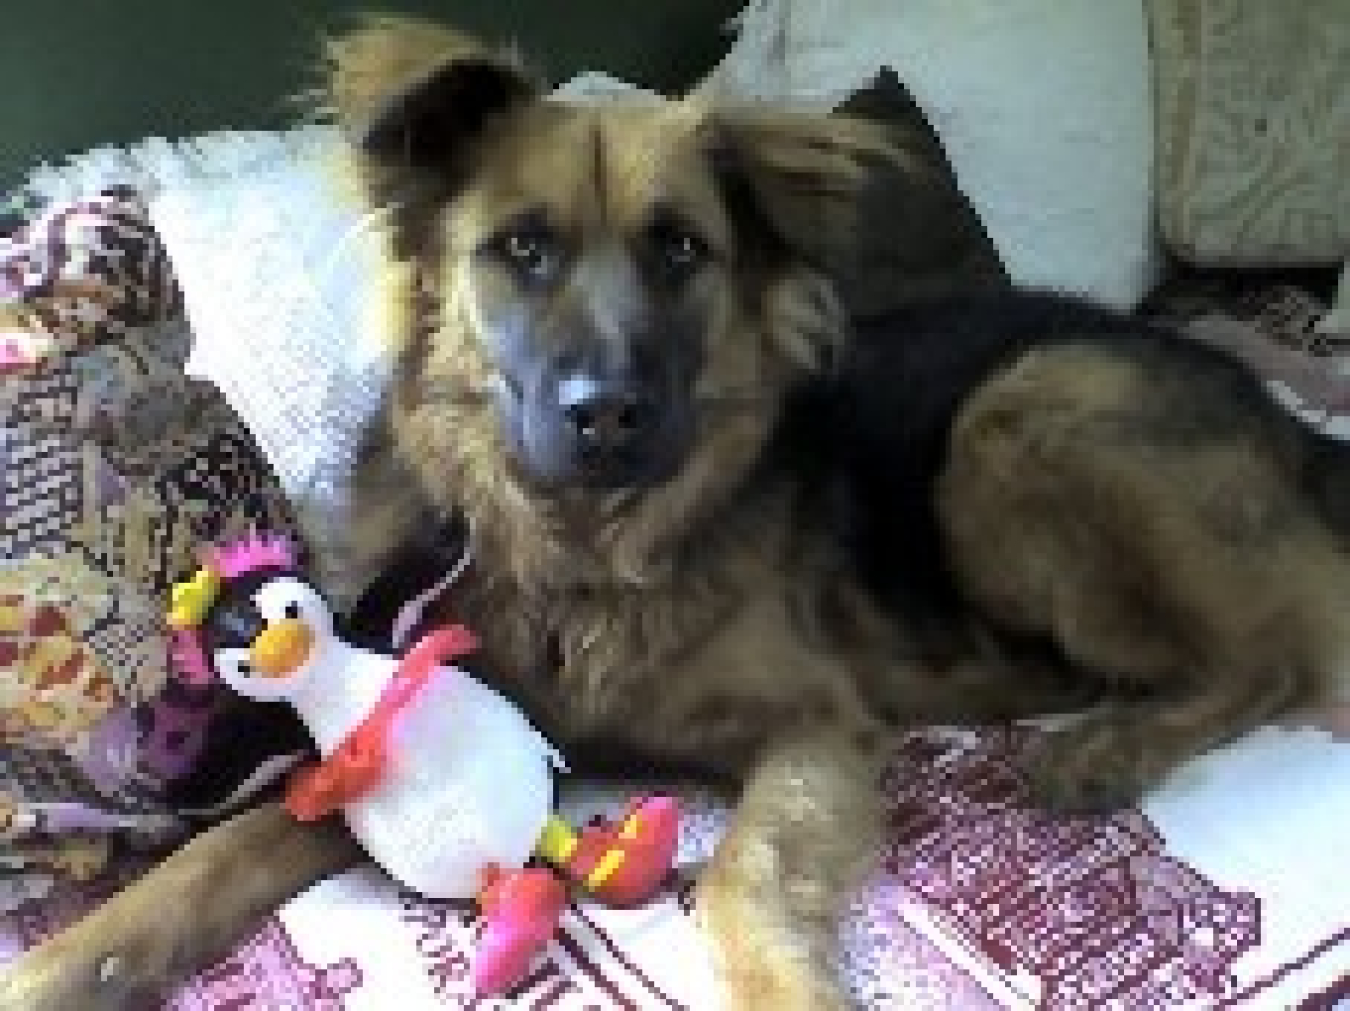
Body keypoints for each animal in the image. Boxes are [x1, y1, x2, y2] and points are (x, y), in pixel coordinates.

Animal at [2, 15, 1350, 1009]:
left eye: (682, 250)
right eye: (523, 250)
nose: (605, 414)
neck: (589, 558)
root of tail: (1293, 429)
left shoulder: (815, 729)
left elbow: (743, 878)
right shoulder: (409, 713)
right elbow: (223, 846)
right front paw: (68, 960)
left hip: (1023, 412)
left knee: (1272, 663)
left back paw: (1104, 743)